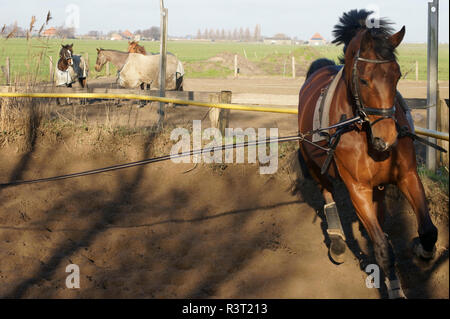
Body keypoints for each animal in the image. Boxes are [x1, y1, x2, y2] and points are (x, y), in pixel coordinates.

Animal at [298, 8, 438, 298]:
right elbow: (383, 249)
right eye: (363, 79)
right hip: (317, 167)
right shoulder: (357, 188)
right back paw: (338, 240)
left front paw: (422, 250)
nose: (387, 138)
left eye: (397, 75)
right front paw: (395, 289)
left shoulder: (406, 176)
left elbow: (428, 230)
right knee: (327, 193)